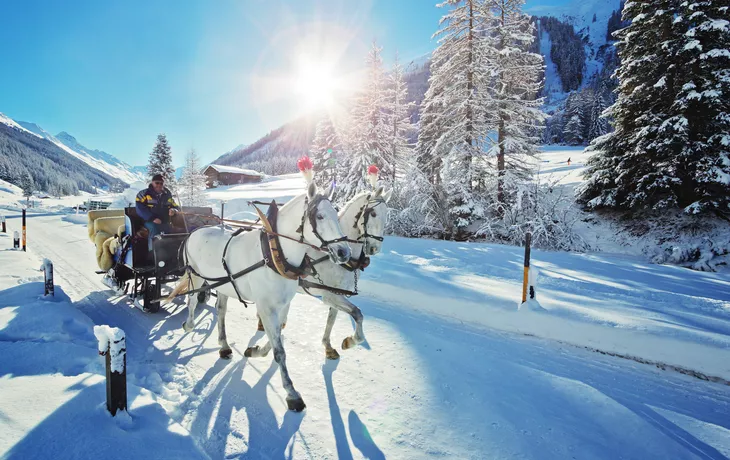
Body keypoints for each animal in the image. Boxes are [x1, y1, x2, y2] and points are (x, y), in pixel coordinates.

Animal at [173, 181, 350, 412]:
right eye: (319, 216)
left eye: (336, 214)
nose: (344, 252)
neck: (274, 256)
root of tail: (194, 231)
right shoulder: (266, 307)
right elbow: (280, 350)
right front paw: (292, 393)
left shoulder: (282, 305)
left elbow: (278, 336)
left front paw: (256, 351)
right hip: (195, 276)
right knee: (192, 300)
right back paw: (189, 325)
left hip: (223, 285)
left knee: (221, 311)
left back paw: (224, 346)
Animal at [247, 186, 390, 360]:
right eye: (374, 213)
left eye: (386, 215)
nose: (375, 248)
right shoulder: (329, 295)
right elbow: (357, 313)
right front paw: (350, 341)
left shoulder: (336, 293)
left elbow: (332, 319)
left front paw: (328, 346)